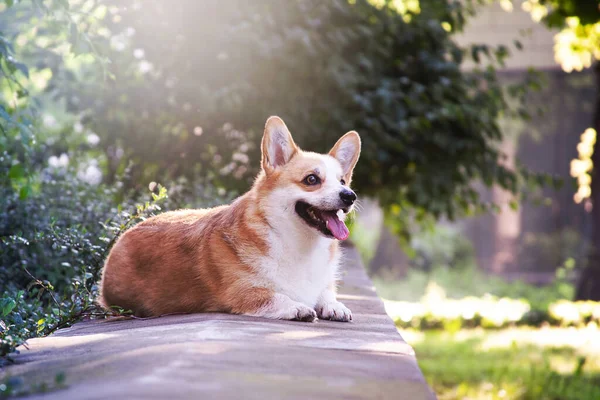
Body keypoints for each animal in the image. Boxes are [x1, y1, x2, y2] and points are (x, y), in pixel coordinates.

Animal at [99, 115, 360, 322]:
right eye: (312, 179)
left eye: (342, 181)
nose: (349, 196)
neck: (297, 243)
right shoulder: (243, 292)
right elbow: (275, 296)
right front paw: (298, 307)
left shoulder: (322, 283)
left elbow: (326, 292)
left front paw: (335, 306)